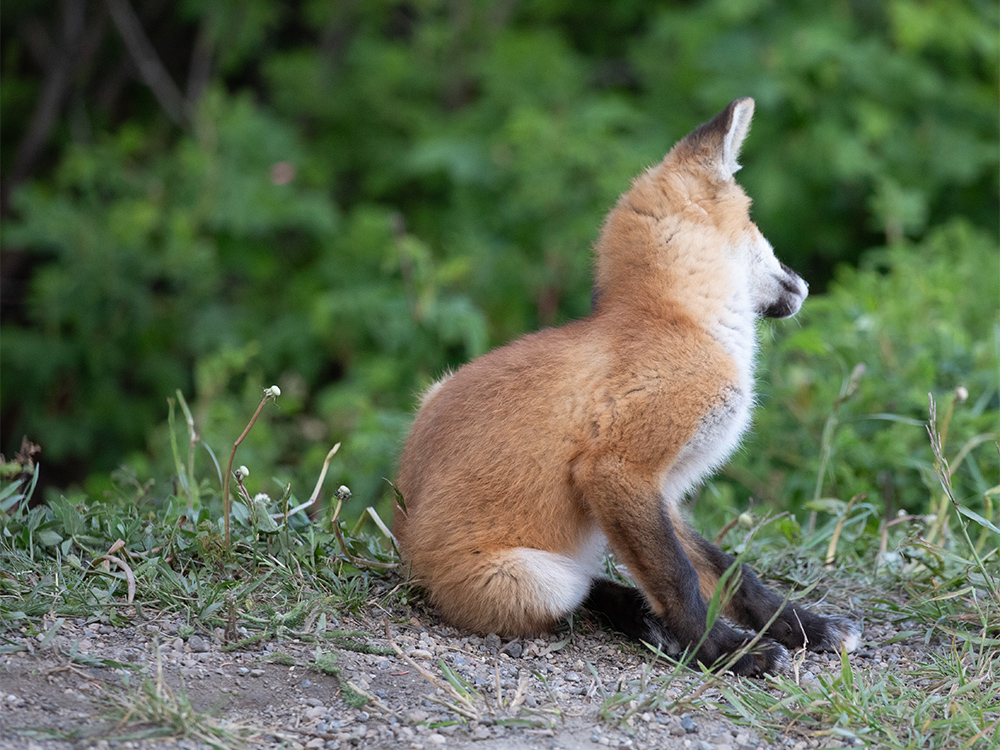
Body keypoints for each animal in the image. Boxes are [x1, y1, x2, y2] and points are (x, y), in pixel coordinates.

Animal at [394, 98, 860, 676]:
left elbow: (731, 572)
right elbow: (680, 581)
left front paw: (803, 625)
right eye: (756, 225)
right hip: (535, 579)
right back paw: (645, 621)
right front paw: (725, 652)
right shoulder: (618, 471)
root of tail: (404, 542)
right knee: (584, 590)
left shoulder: (664, 488)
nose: (805, 284)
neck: (681, 324)